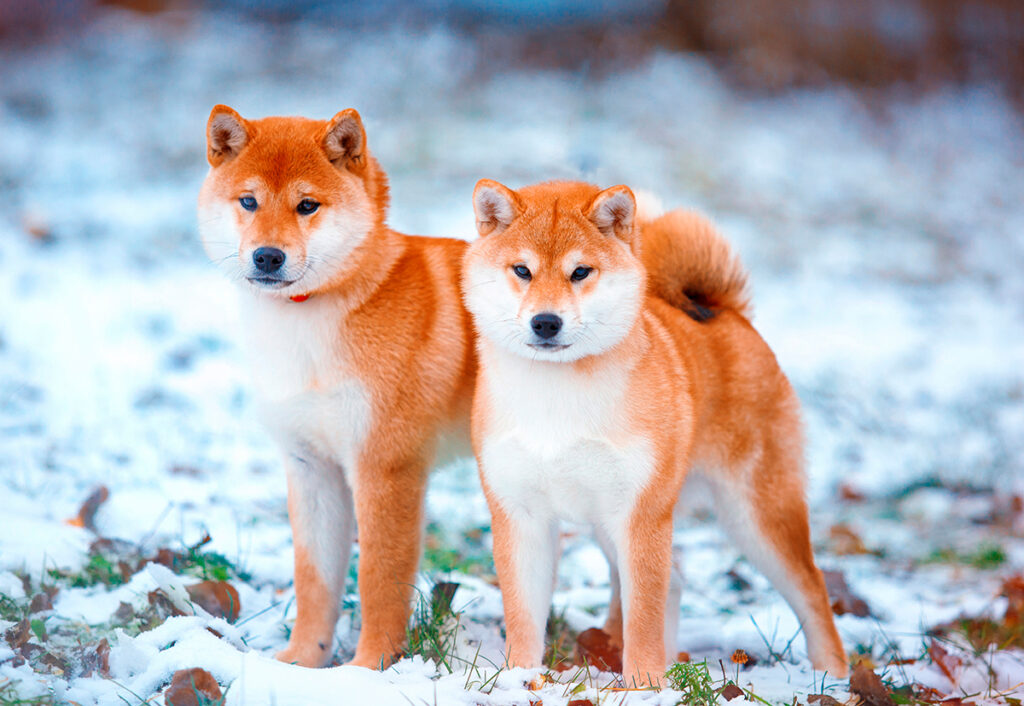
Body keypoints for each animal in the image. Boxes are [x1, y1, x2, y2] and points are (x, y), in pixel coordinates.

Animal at [196, 104, 475, 668]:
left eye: (307, 205)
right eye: (249, 201)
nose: (267, 256)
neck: (307, 331)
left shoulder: (386, 470)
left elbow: (378, 582)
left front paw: (368, 670)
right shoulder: (312, 467)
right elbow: (315, 581)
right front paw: (303, 662)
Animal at [464, 180, 847, 684]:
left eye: (580, 271)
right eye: (522, 270)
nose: (546, 322)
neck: (557, 398)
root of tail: (723, 310)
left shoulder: (642, 514)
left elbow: (643, 616)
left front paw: (644, 685)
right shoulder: (520, 514)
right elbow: (524, 616)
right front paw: (518, 680)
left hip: (756, 518)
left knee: (813, 590)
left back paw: (834, 676)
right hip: (612, 525)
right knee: (677, 581)